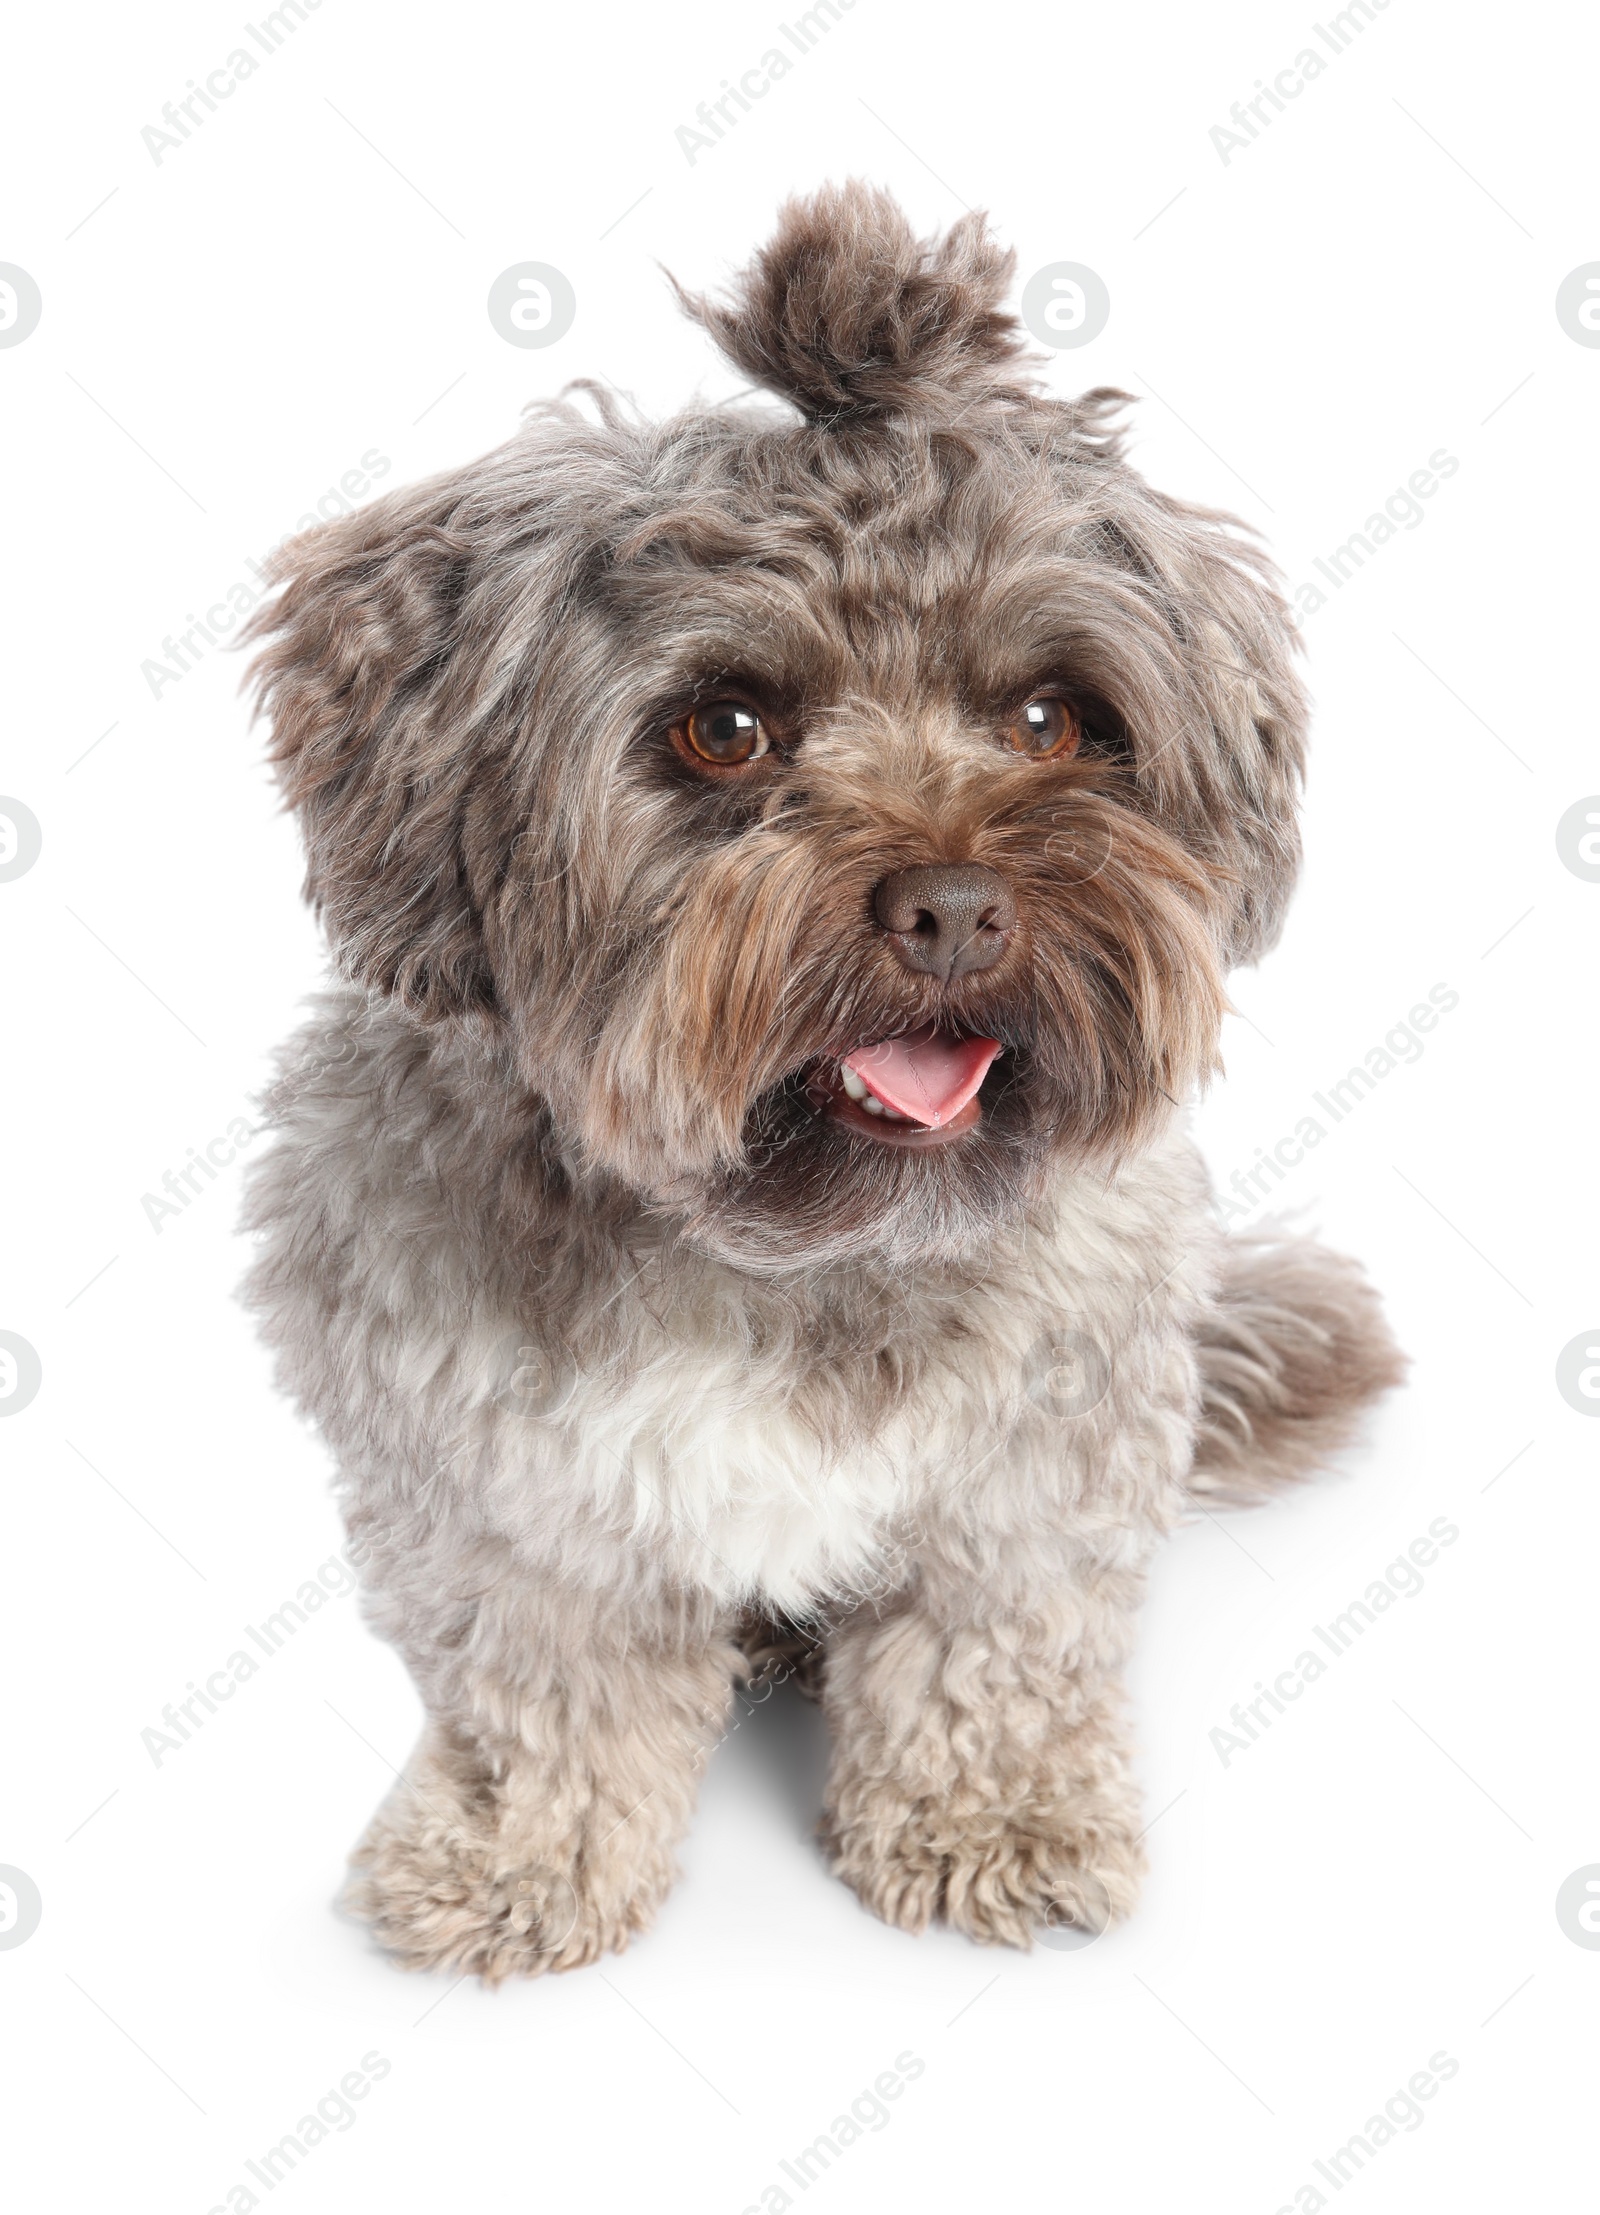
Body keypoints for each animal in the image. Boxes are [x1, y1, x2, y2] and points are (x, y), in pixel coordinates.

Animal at [240, 186, 1400, 1975]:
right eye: (724, 726)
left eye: (1052, 716)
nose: (955, 905)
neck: (784, 1251)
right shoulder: (491, 1475)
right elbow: (543, 1681)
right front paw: (519, 1850)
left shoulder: (1036, 1452)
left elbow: (987, 1646)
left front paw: (990, 1814)